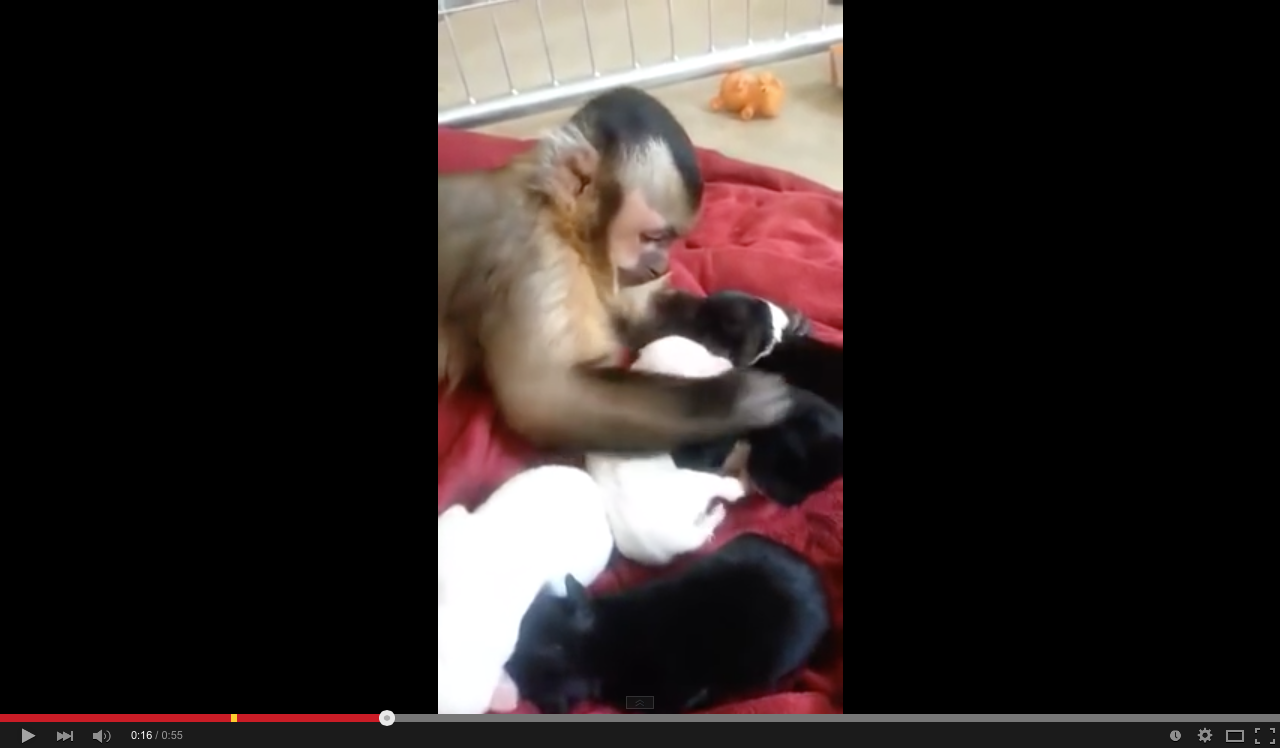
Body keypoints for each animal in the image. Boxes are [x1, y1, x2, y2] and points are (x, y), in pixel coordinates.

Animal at [438, 87, 793, 453]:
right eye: (653, 237)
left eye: (670, 241)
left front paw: (744, 322)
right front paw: (738, 398)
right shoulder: (538, 257)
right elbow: (542, 399)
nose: (660, 266)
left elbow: (641, 317)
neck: (554, 215)